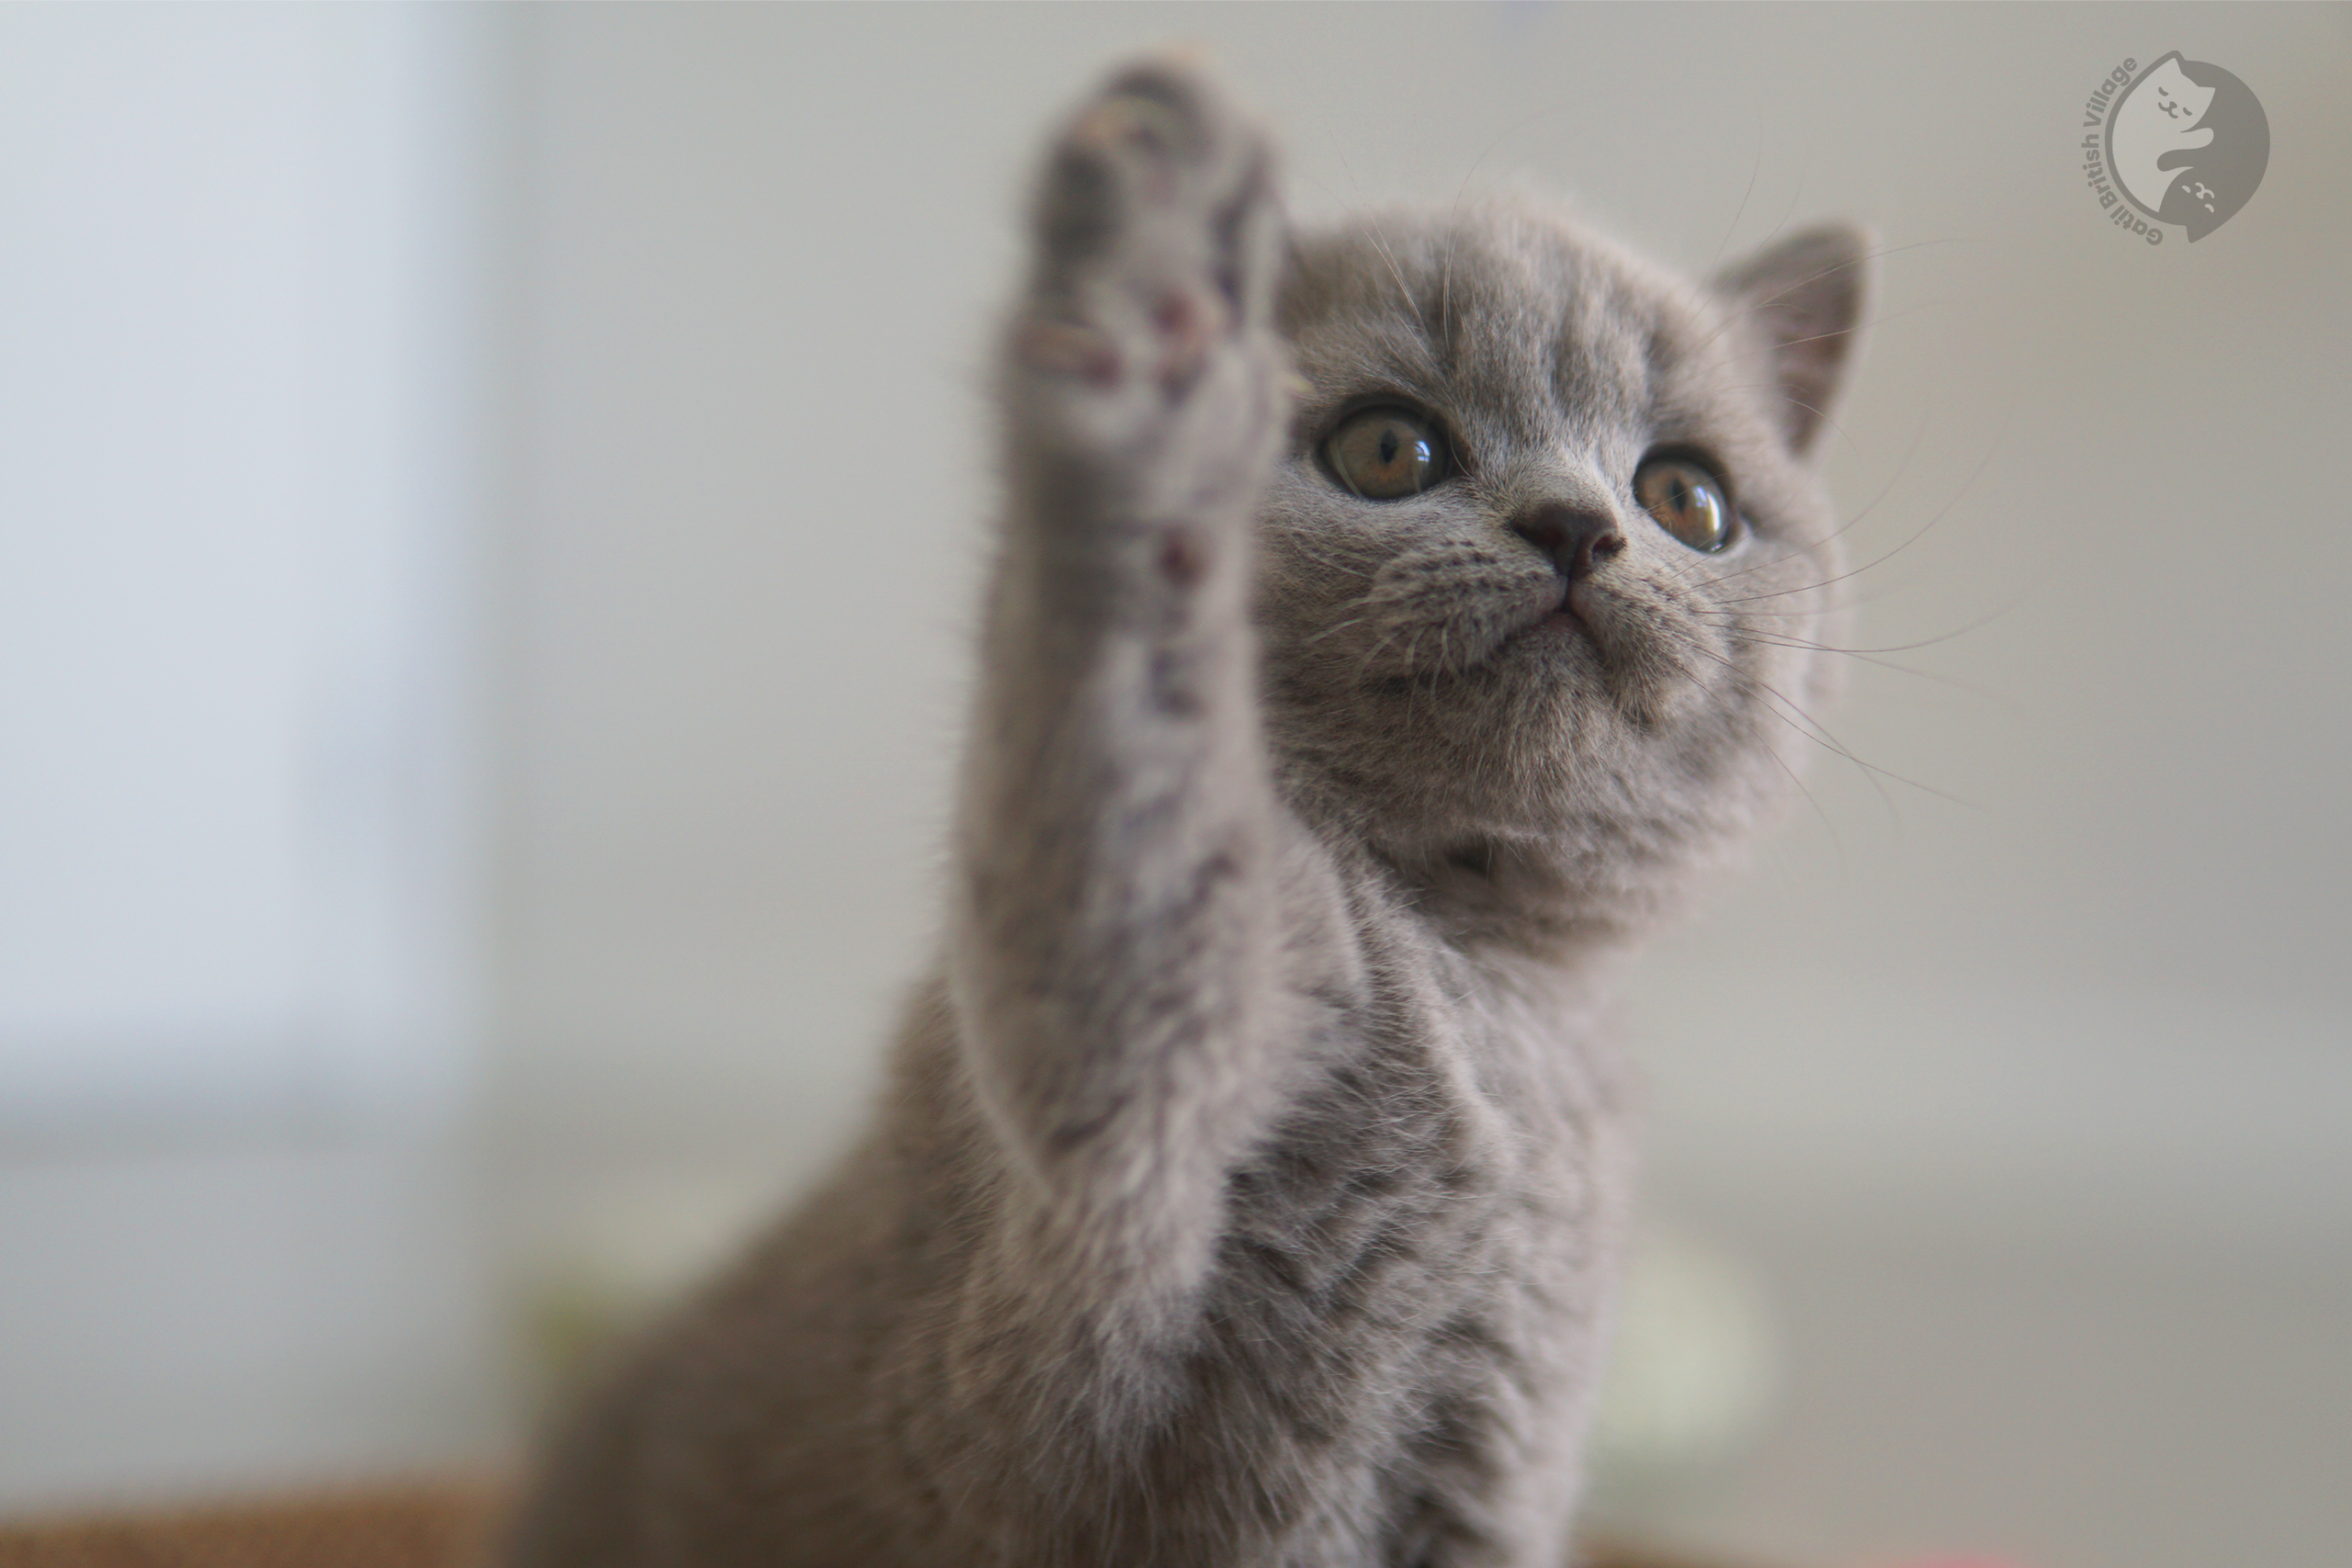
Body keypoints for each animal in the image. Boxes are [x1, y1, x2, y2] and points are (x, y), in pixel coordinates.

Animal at [501, 55, 1871, 1561]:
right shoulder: (1117, 1102)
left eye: (1688, 497)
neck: (1480, 967)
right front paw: (1155, 288)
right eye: (1388, 448)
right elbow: (1135, 733)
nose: (1576, 527)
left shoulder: (1498, 1476)